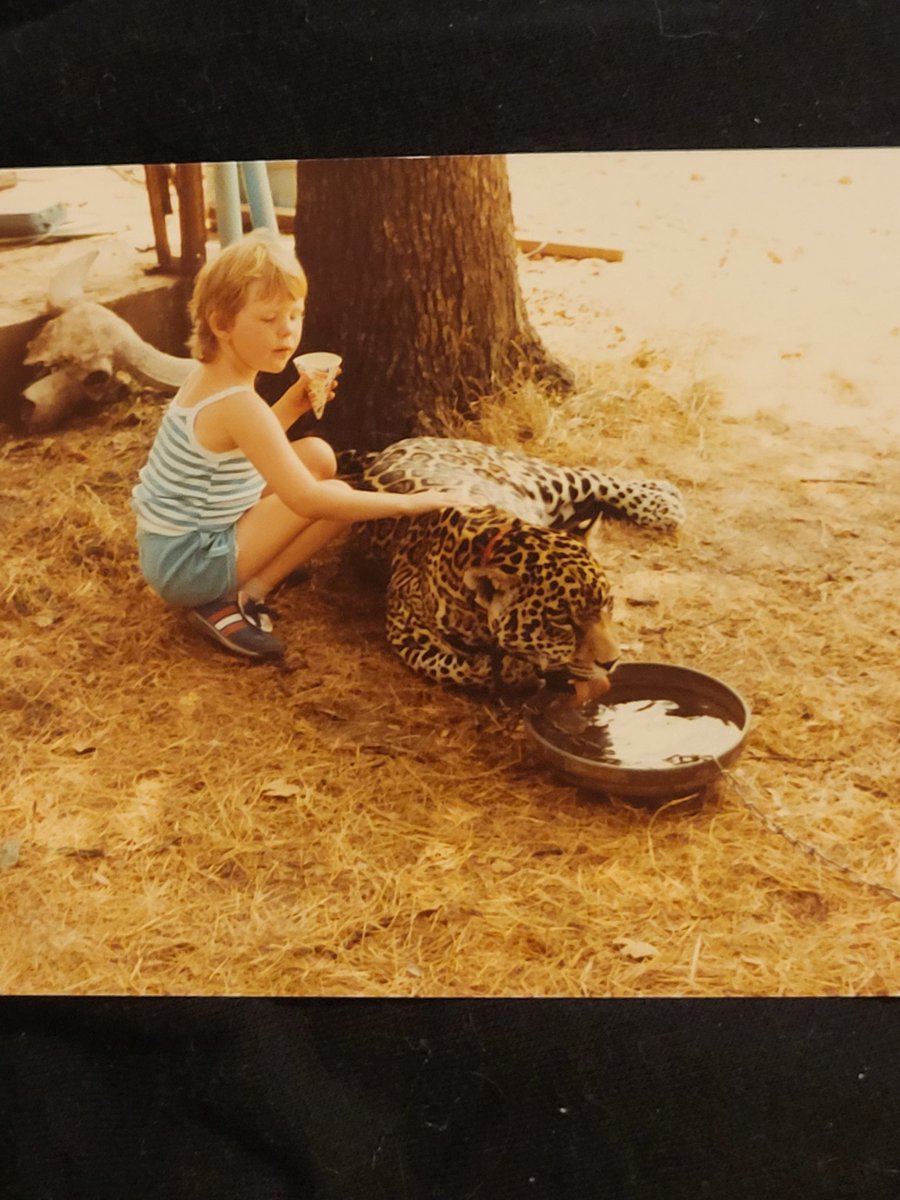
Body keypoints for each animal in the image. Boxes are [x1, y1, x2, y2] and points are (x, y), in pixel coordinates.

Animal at [340, 436, 686, 696]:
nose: (612, 662)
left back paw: (660, 501)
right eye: (561, 621)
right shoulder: (405, 634)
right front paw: (510, 671)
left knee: (590, 475)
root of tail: (388, 448)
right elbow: (452, 668)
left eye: (608, 604)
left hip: (536, 477)